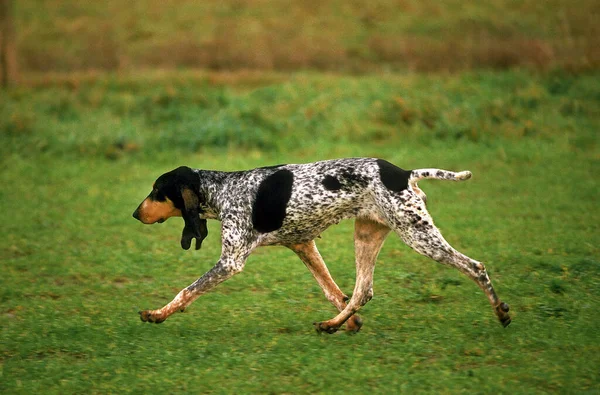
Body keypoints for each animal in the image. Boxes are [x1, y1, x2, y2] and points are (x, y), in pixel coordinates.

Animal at [132, 159, 510, 334]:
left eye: (156, 191)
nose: (135, 214)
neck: (222, 190)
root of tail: (403, 173)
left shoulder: (230, 262)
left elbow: (186, 291)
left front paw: (158, 313)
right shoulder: (303, 246)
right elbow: (333, 291)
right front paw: (350, 323)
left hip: (419, 236)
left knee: (475, 267)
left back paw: (501, 312)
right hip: (367, 236)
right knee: (363, 291)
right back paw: (332, 324)